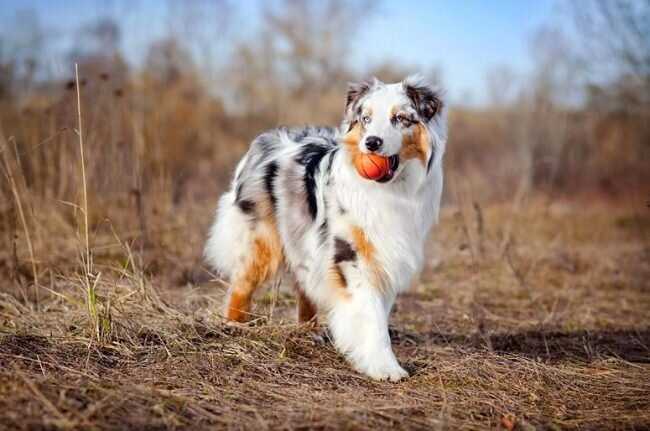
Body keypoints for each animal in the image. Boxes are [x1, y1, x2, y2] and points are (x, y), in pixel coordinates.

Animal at [205, 77, 448, 382]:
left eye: (400, 118)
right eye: (366, 119)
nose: (372, 143)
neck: (390, 191)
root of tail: (266, 138)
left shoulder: (385, 256)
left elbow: (378, 311)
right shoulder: (351, 255)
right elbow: (371, 315)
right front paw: (385, 367)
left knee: (303, 285)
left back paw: (309, 331)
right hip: (262, 240)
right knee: (241, 284)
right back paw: (234, 325)